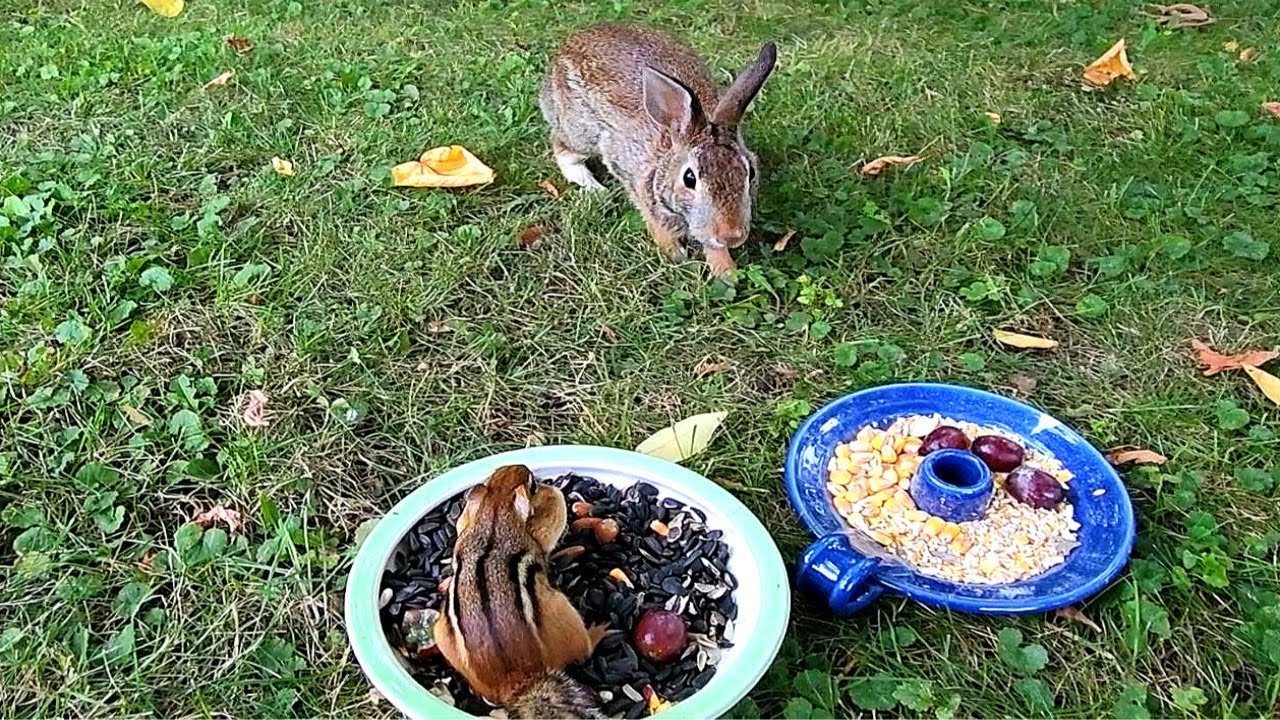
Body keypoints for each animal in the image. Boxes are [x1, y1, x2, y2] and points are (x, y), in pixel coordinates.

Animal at [434, 465, 610, 719]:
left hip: (439, 633)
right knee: (583, 650)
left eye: (492, 476)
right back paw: (599, 630)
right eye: (533, 486)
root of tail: (516, 681)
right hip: (564, 613)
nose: (523, 467)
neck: (495, 513)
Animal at [540, 23, 777, 277]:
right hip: (580, 133)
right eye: (689, 178)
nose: (732, 236)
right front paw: (677, 256)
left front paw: (727, 272)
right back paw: (595, 187)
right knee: (562, 147)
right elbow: (660, 229)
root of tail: (567, 46)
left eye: (750, 173)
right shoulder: (643, 194)